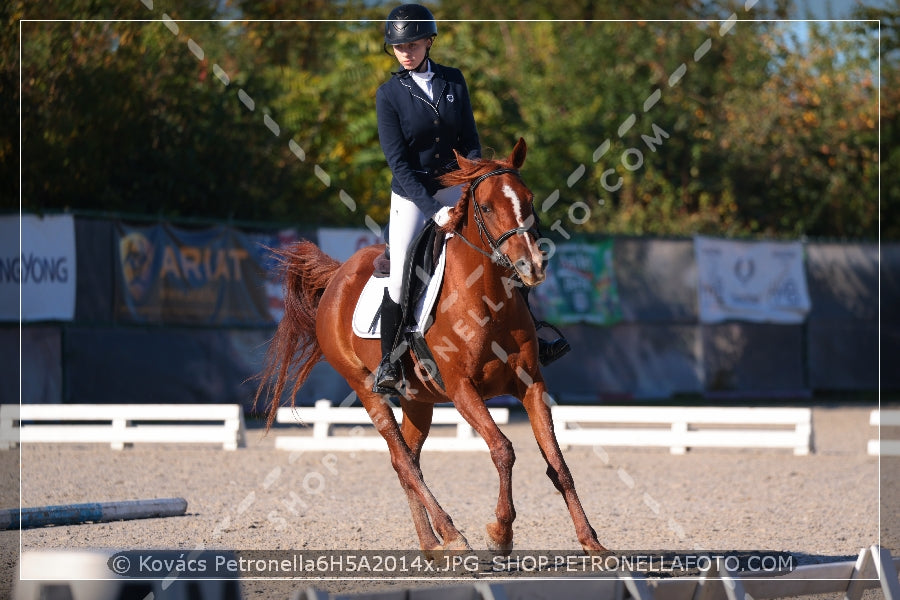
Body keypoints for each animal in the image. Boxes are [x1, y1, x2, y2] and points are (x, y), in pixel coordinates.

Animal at [255, 138, 604, 556]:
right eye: (487, 207)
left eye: (529, 199)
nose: (532, 266)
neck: (486, 298)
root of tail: (338, 275)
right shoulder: (461, 388)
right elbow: (503, 449)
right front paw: (500, 534)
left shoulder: (531, 383)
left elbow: (558, 462)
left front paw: (592, 542)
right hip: (367, 389)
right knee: (403, 460)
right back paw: (451, 536)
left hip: (417, 400)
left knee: (407, 459)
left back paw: (432, 544)